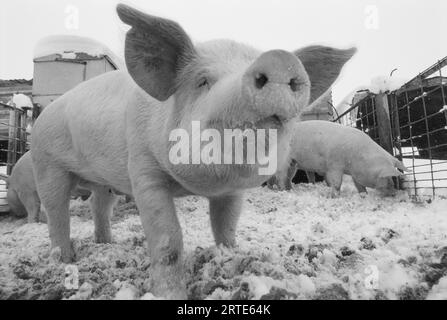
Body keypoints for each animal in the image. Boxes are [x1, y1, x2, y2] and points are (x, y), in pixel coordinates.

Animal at [28, 2, 356, 298]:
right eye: (203, 81)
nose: (279, 59)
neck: (196, 185)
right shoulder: (143, 169)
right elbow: (167, 239)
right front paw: (169, 294)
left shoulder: (232, 190)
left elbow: (226, 228)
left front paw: (228, 259)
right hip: (47, 165)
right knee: (56, 212)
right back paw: (65, 259)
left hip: (102, 181)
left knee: (99, 205)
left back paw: (105, 243)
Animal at [270, 120, 410, 196]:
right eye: (384, 176)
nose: (393, 192)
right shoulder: (334, 165)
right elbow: (336, 183)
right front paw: (335, 196)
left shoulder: (355, 173)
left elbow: (359, 185)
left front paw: (364, 195)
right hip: (282, 160)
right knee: (280, 177)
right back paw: (284, 191)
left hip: (293, 163)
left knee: (287, 177)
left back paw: (289, 190)